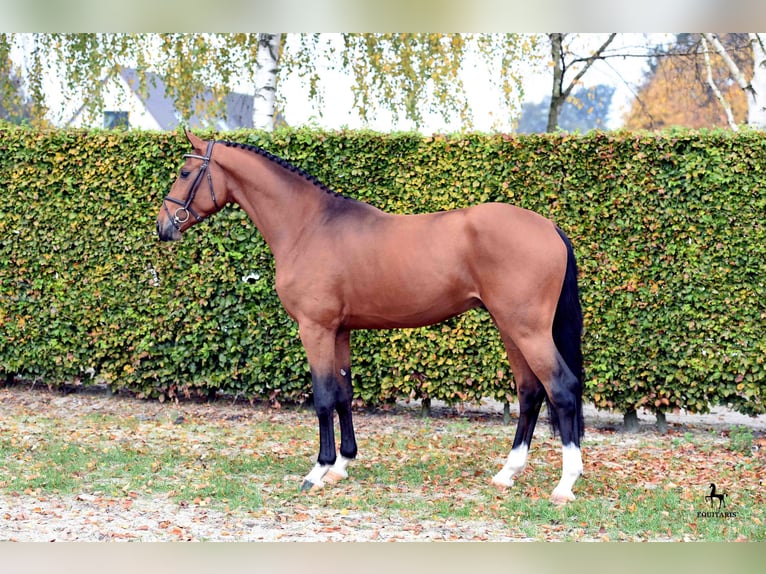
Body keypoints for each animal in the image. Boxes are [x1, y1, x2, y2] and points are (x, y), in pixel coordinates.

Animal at [158, 129, 588, 504]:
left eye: (184, 172)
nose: (163, 226)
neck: (308, 226)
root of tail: (550, 227)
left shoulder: (314, 328)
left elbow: (323, 397)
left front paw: (318, 471)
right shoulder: (340, 330)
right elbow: (343, 394)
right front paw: (342, 464)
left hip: (527, 329)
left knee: (562, 388)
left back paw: (565, 485)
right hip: (510, 328)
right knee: (530, 392)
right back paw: (507, 473)